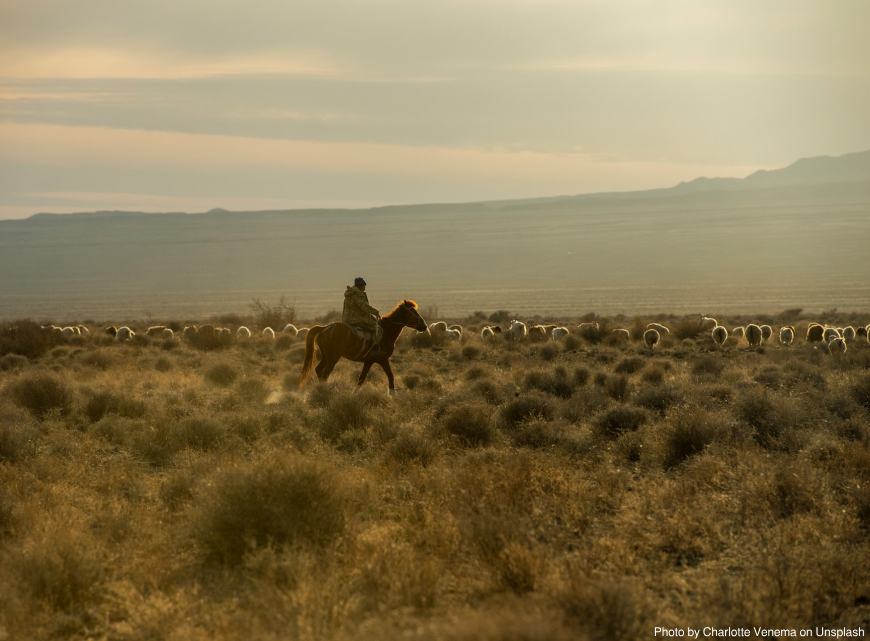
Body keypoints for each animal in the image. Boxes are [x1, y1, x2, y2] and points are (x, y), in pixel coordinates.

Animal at [300, 298, 430, 392]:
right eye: (413, 312)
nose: (424, 326)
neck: (386, 332)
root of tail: (324, 328)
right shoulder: (383, 360)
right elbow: (390, 376)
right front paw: (392, 395)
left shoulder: (369, 361)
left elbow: (361, 379)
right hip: (333, 357)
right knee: (325, 373)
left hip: (326, 356)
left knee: (319, 370)